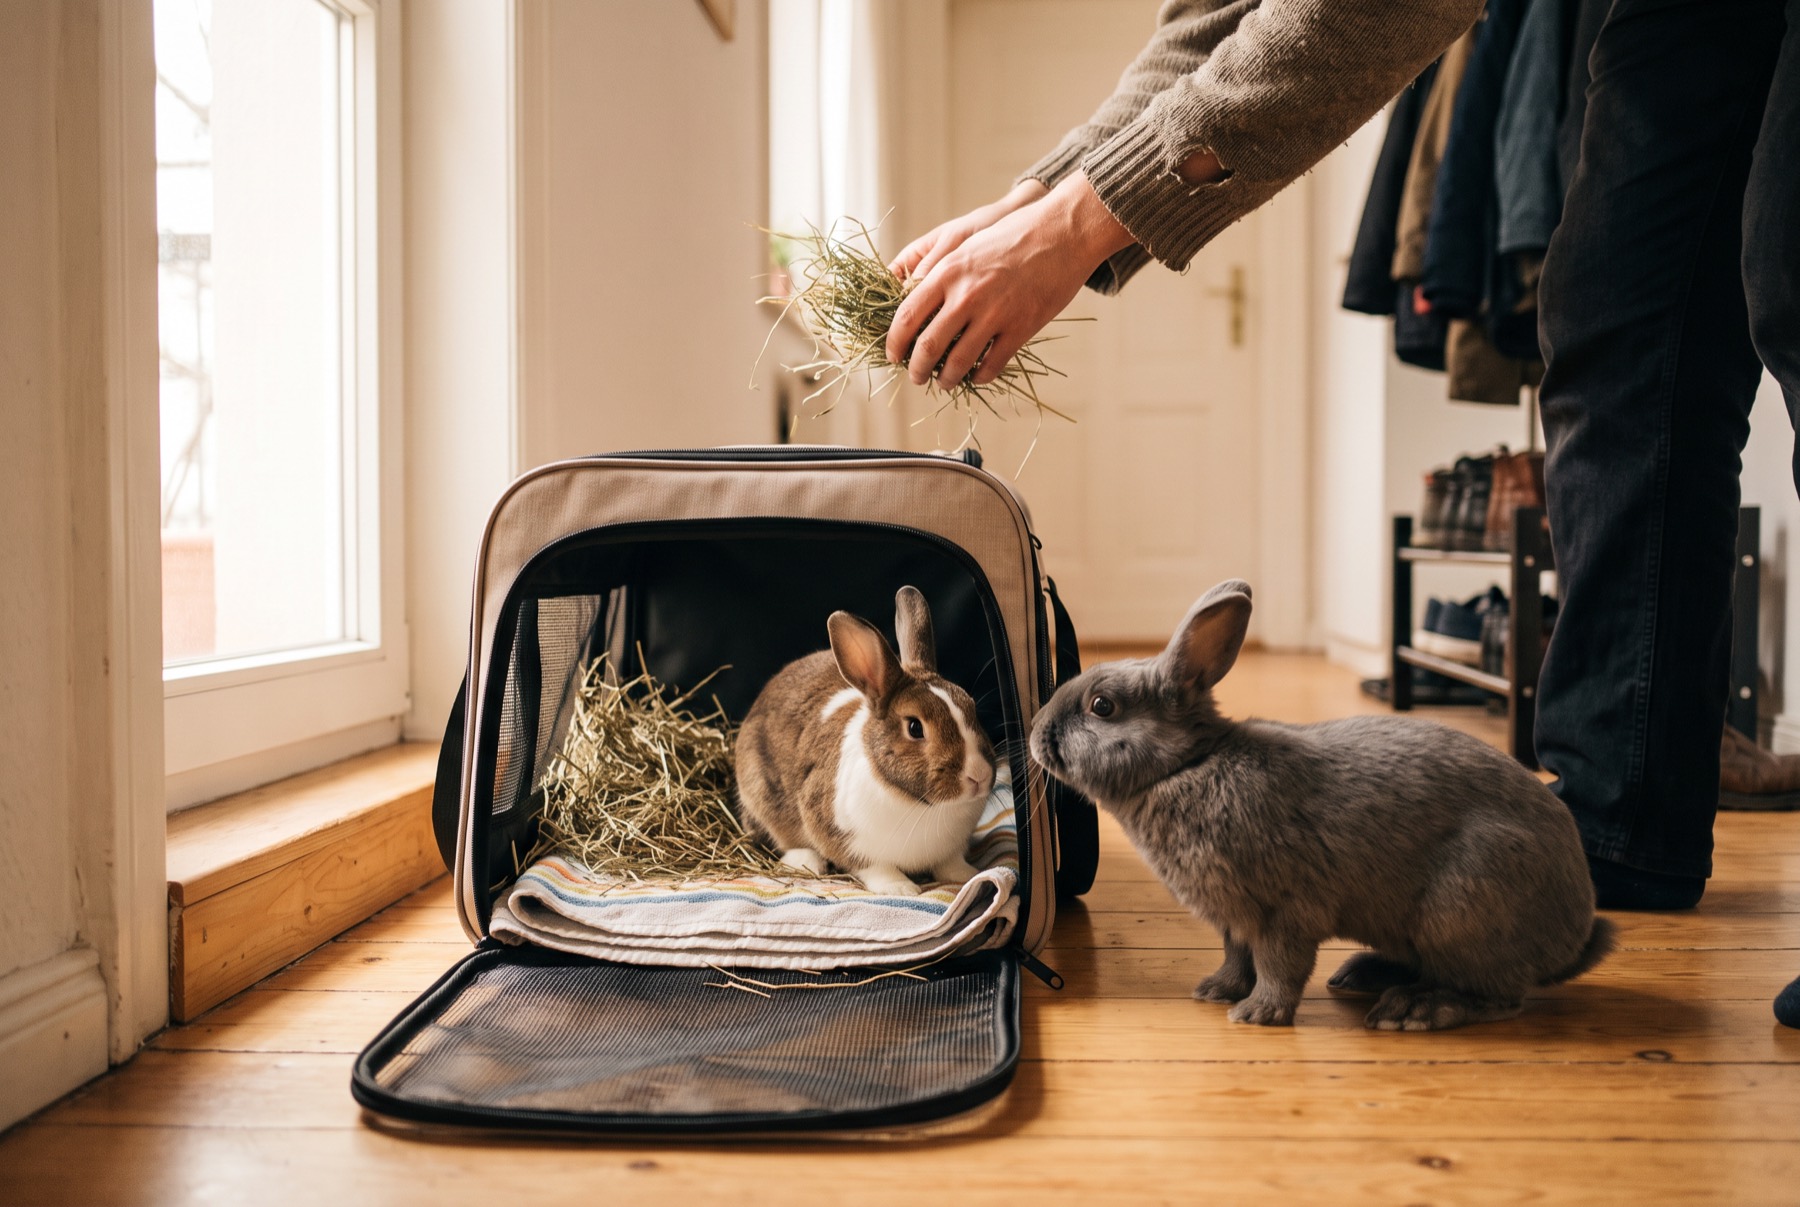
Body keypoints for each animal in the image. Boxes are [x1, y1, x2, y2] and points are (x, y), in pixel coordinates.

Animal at [735, 585, 998, 897]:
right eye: (915, 727)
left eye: (971, 707)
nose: (979, 775)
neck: (924, 805)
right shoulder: (841, 835)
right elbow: (876, 867)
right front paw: (901, 889)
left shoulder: (951, 850)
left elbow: (950, 864)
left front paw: (969, 874)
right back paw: (807, 862)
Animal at [1028, 578, 1614, 1031]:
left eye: (1102, 707)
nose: (1034, 731)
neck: (1186, 766)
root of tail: (1573, 935)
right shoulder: (1234, 920)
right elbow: (1237, 956)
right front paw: (1216, 990)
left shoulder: (1285, 909)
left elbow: (1279, 965)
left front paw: (1256, 1015)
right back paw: (1363, 975)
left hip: (1462, 906)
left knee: (1498, 996)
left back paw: (1414, 1010)